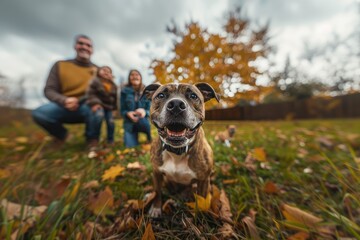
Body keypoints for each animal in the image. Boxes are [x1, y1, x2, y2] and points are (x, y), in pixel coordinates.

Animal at [141, 82, 219, 218]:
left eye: (193, 96)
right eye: (161, 95)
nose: (176, 105)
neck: (177, 151)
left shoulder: (203, 180)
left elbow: (202, 201)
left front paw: (201, 217)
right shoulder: (156, 173)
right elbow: (157, 192)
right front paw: (156, 207)